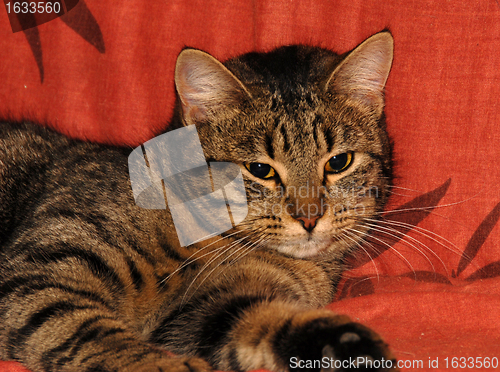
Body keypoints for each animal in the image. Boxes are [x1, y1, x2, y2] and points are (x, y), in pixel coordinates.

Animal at [0, 32, 398, 372]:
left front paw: (346, 345)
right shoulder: (44, 268)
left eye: (338, 162)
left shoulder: (205, 309)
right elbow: (86, 331)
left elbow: (262, 319)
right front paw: (162, 365)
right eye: (260, 169)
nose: (310, 217)